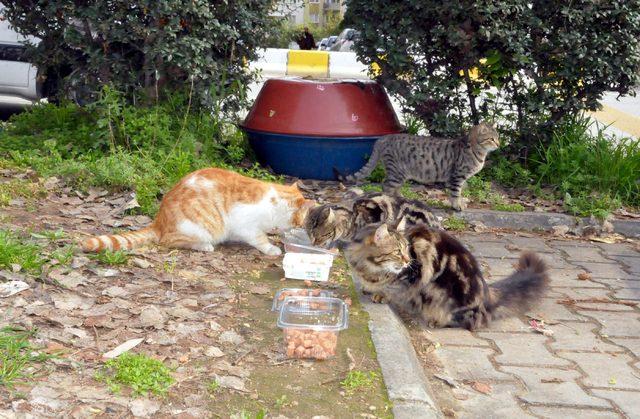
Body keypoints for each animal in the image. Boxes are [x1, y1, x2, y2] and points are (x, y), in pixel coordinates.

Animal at [81, 168, 316, 256]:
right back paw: (204, 246)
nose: (301, 230)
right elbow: (260, 238)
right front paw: (271, 248)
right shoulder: (246, 225)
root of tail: (159, 220)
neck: (273, 202)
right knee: (169, 241)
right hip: (199, 227)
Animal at [336, 123, 500, 212]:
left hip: (399, 174)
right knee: (386, 186)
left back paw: (401, 198)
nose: (499, 144)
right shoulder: (457, 177)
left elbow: (458, 192)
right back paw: (392, 202)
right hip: (397, 172)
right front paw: (457, 206)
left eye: (498, 138)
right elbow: (455, 193)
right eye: (492, 139)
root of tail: (384, 138)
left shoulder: (455, 179)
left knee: (392, 187)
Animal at [344, 223, 552, 332]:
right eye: (397, 252)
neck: (369, 265)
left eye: (407, 250)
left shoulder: (413, 276)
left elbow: (394, 287)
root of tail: (487, 295)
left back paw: (437, 321)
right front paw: (369, 287)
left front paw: (381, 294)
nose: (407, 260)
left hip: (442, 293)